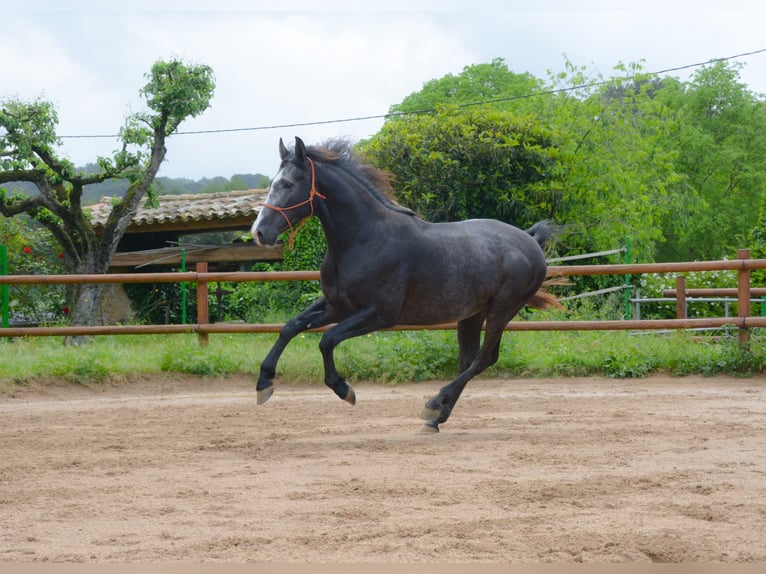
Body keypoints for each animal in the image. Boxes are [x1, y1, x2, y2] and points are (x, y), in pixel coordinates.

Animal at [252, 136, 558, 432]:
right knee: (468, 359)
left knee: (485, 358)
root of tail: (531, 240)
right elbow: (290, 327)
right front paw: (264, 384)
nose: (259, 232)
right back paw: (435, 419)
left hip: (502, 309)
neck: (364, 239)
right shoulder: (337, 307)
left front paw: (344, 390)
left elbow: (327, 340)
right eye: (273, 182)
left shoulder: (380, 315)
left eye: (288, 184)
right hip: (473, 313)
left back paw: (432, 405)